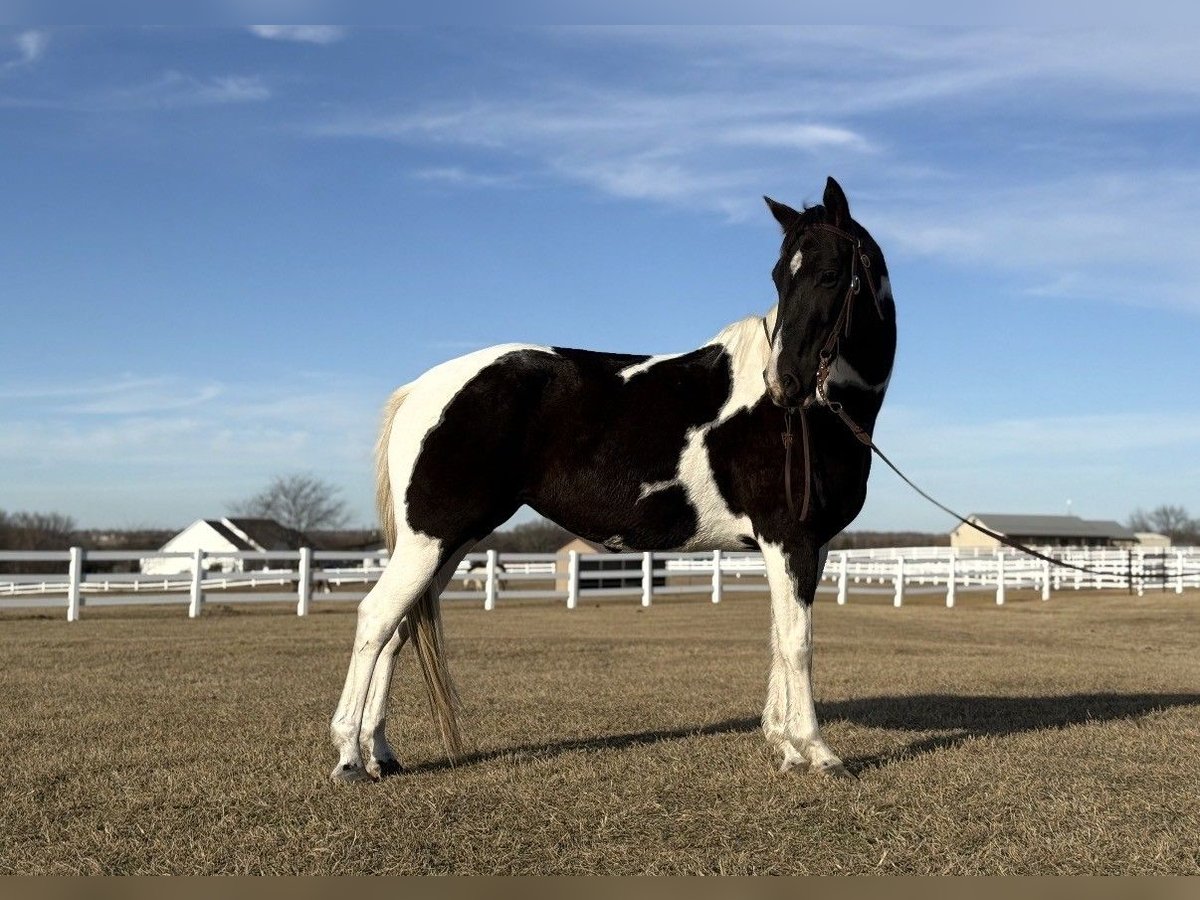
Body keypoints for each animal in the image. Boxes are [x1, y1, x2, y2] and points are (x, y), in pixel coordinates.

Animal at [330, 177, 897, 781]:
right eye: (778, 277)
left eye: (830, 274)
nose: (782, 381)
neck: (820, 414)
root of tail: (420, 389)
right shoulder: (788, 539)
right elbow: (797, 643)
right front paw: (817, 751)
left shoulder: (804, 546)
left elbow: (777, 637)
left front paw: (786, 747)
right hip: (430, 540)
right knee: (375, 619)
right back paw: (348, 756)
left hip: (449, 543)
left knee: (400, 628)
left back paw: (381, 754)